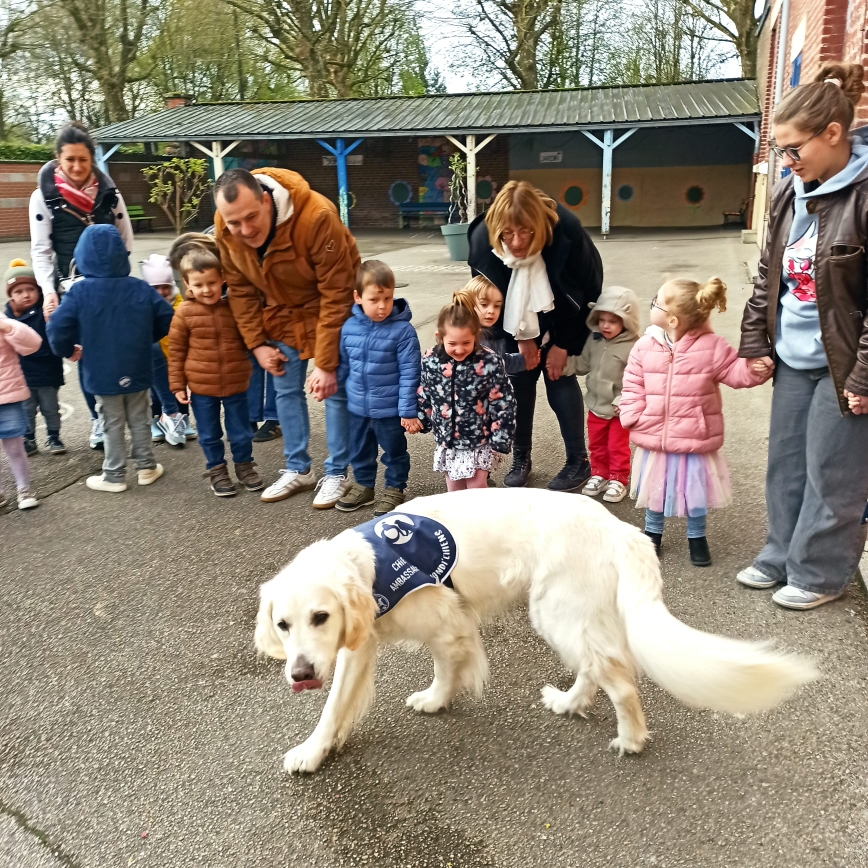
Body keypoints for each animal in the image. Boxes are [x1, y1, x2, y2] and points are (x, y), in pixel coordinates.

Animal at [255, 488, 817, 774]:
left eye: (321, 616)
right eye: (283, 624)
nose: (300, 674)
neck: (372, 567)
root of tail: (621, 529)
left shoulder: (448, 621)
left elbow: (445, 666)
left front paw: (437, 699)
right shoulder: (358, 645)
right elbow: (336, 706)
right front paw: (317, 748)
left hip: (557, 611)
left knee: (620, 680)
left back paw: (630, 739)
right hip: (570, 614)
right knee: (596, 667)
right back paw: (569, 703)